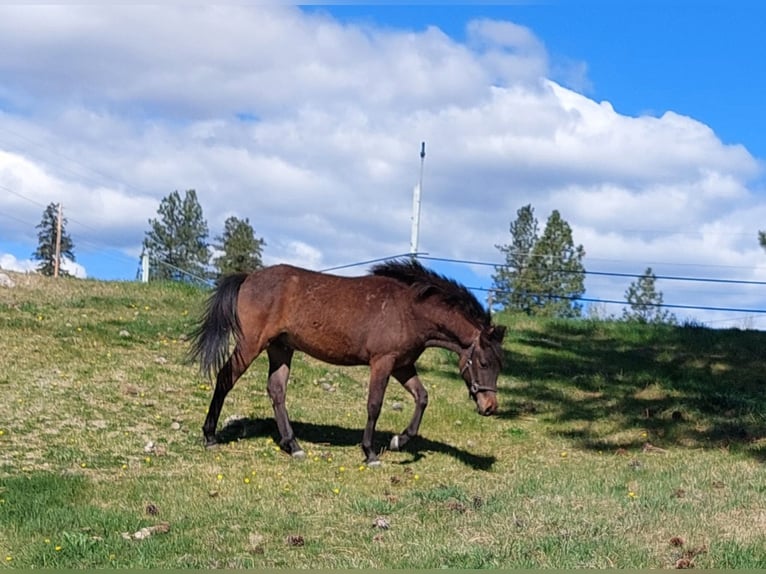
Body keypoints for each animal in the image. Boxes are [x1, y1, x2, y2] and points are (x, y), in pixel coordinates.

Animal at [189, 258, 508, 466]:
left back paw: (293, 446)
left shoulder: (403, 365)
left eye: (499, 365)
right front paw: (370, 453)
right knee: (226, 378)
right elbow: (374, 405)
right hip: (252, 343)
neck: (409, 310)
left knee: (276, 391)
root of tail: (247, 277)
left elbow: (422, 397)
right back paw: (210, 436)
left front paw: (398, 441)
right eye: (483, 362)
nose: (490, 407)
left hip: (280, 349)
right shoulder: (383, 362)